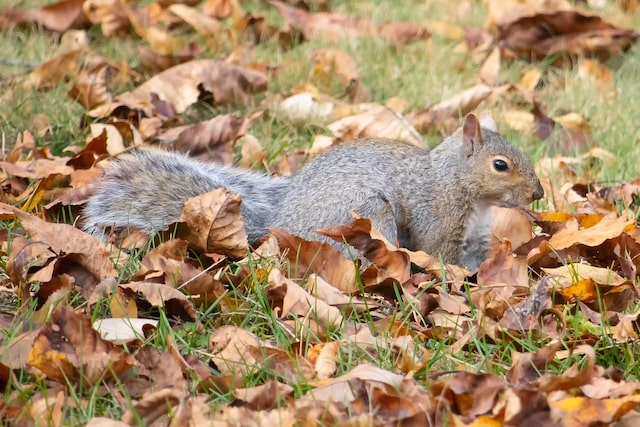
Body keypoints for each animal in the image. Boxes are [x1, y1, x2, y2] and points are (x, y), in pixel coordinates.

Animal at [80, 113, 544, 268]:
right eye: (500, 165)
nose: (539, 194)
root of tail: (279, 226)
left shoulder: (475, 236)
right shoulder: (440, 220)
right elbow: (442, 257)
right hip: (366, 212)